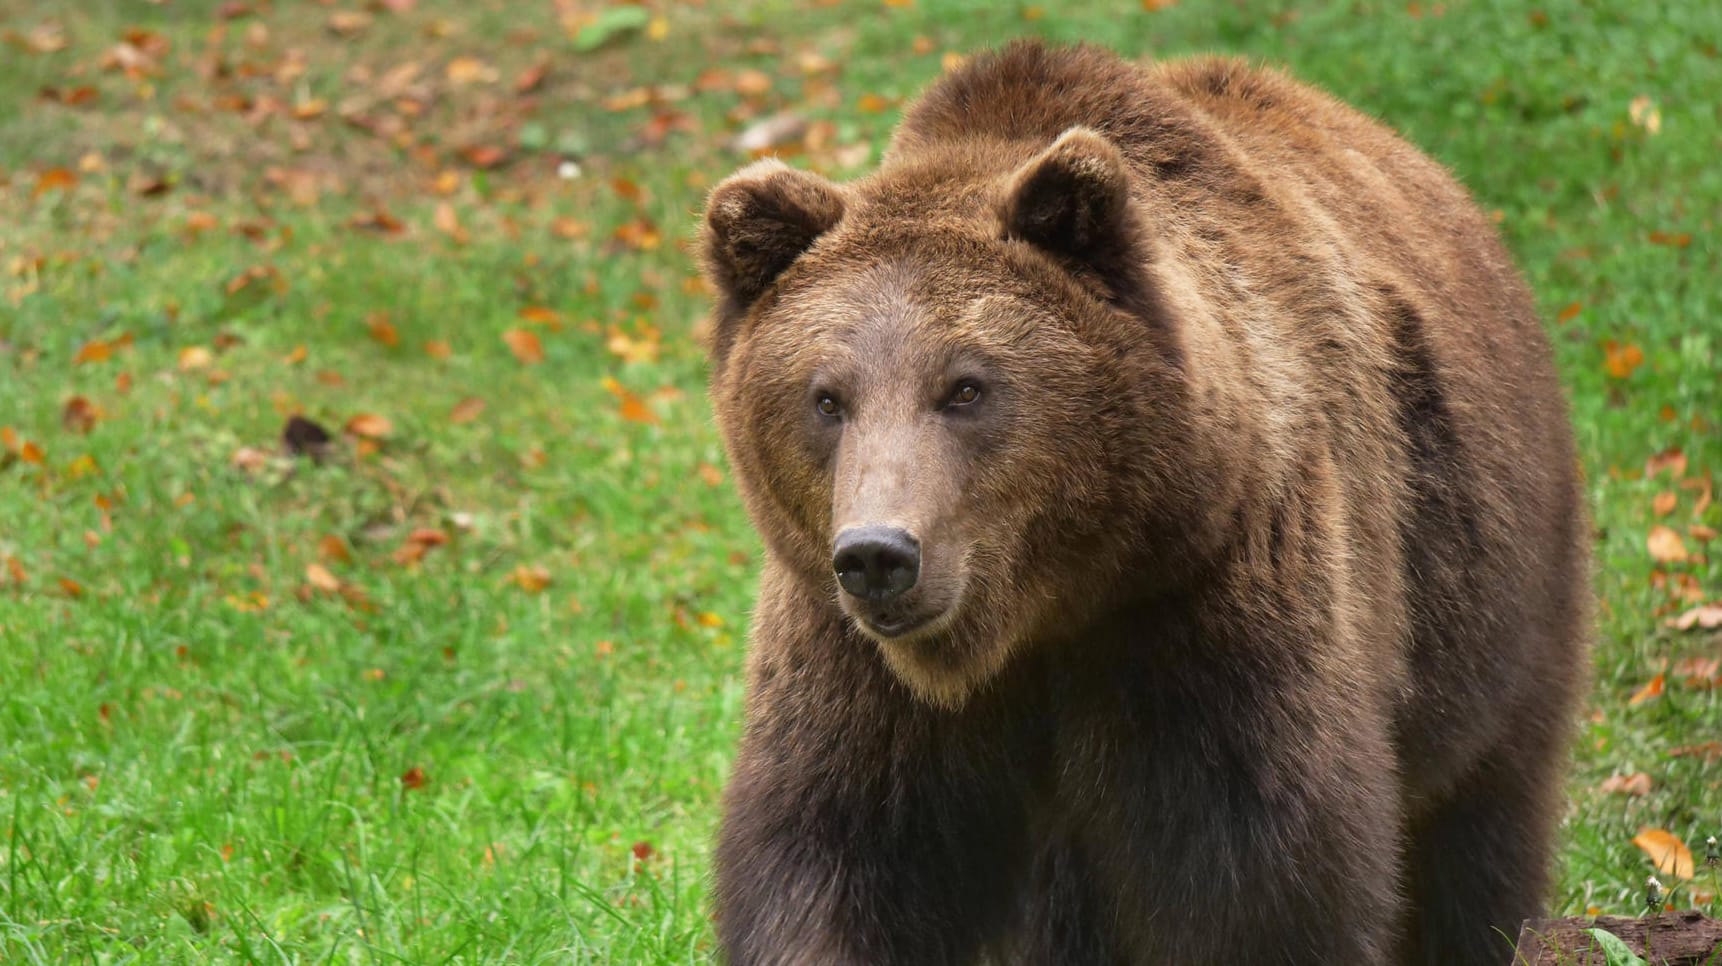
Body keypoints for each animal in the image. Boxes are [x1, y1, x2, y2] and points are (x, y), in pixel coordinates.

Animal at [695, 39, 1584, 964]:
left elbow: (1257, 879)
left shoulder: (1205, 603)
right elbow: (839, 852)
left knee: (1479, 825)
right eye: (827, 397)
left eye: (967, 386)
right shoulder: (852, 664)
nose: (879, 555)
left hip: (1487, 596)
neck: (1041, 614)